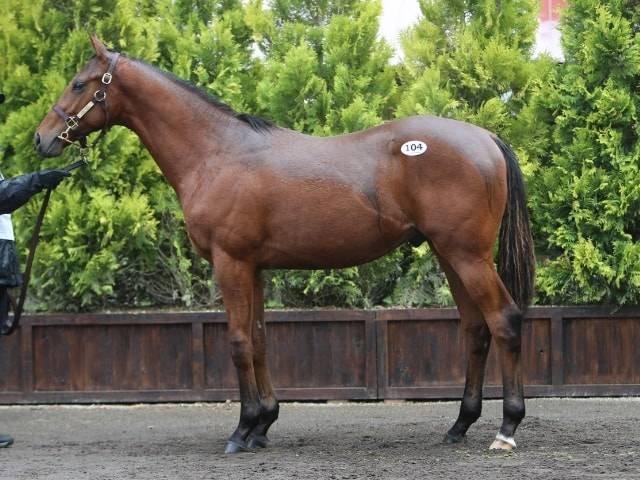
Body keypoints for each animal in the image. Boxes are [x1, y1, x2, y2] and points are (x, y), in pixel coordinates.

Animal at [35, 36, 535, 454]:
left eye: (79, 83)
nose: (41, 139)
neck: (217, 154)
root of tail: (486, 137)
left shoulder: (230, 263)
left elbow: (238, 342)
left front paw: (241, 430)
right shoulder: (253, 268)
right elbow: (258, 340)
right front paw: (263, 425)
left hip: (468, 256)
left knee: (504, 320)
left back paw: (507, 429)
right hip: (449, 255)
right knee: (475, 330)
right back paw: (459, 425)